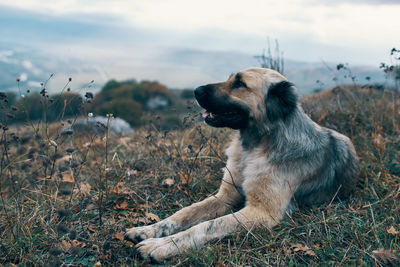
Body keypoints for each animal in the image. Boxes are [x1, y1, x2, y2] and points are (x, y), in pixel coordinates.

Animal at [125, 68, 360, 262]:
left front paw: (163, 245)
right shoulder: (225, 196)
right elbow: (185, 212)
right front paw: (149, 230)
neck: (255, 146)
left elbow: (207, 225)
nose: (196, 90)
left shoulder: (262, 212)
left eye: (240, 84)